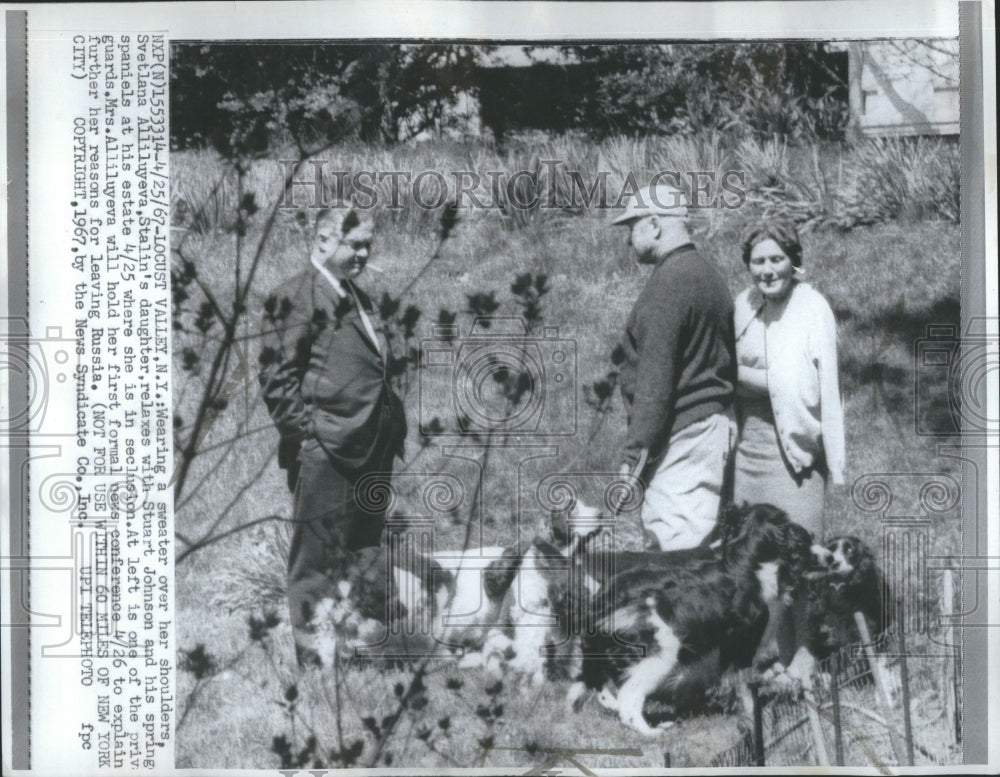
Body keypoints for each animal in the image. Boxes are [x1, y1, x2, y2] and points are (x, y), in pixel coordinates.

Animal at [564, 504, 828, 732]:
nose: (820, 547)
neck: (745, 564)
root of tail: (606, 595)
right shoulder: (742, 646)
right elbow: (747, 689)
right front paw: (756, 720)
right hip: (660, 653)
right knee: (629, 699)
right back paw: (653, 732)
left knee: (598, 685)